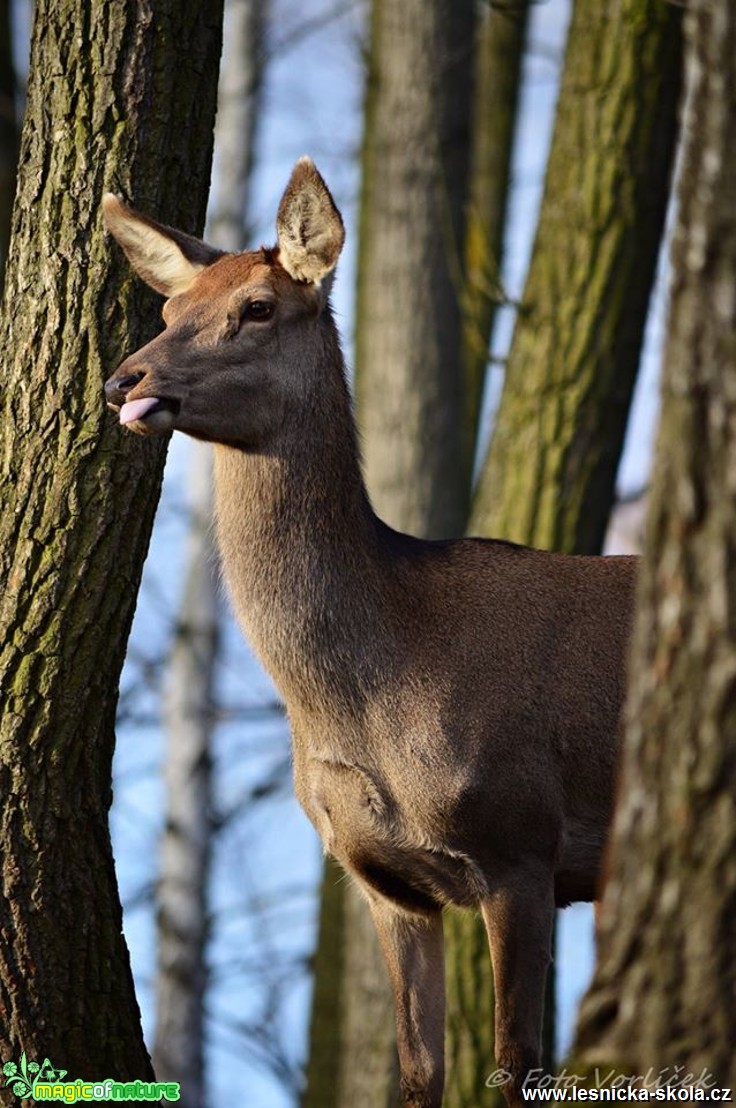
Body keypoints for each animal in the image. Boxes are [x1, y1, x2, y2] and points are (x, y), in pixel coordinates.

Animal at [101, 158, 638, 1108]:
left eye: (257, 307)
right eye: (169, 311)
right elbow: (418, 1073)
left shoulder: (522, 840)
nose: (123, 379)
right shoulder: (386, 881)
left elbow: (514, 1065)